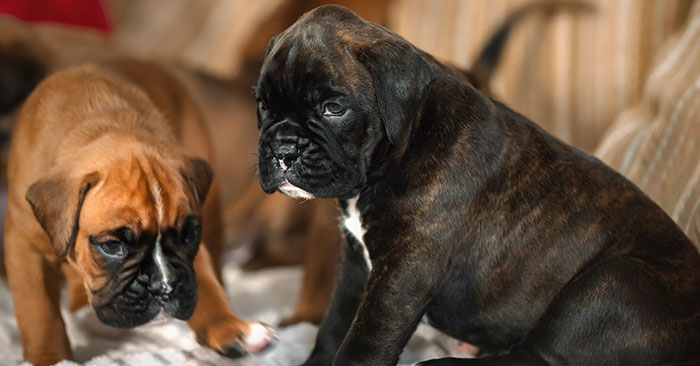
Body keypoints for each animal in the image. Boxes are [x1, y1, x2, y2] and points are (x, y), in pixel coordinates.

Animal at [4, 60, 276, 366]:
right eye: (112, 246)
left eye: (189, 236)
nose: (163, 287)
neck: (101, 125)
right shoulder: (25, 248)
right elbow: (39, 315)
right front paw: (49, 358)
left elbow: (206, 285)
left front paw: (230, 328)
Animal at [254, 4, 700, 364]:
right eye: (262, 104)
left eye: (334, 108)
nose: (284, 147)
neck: (405, 142)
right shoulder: (355, 264)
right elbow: (335, 325)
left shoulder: (403, 271)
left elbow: (364, 340)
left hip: (613, 283)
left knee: (533, 356)